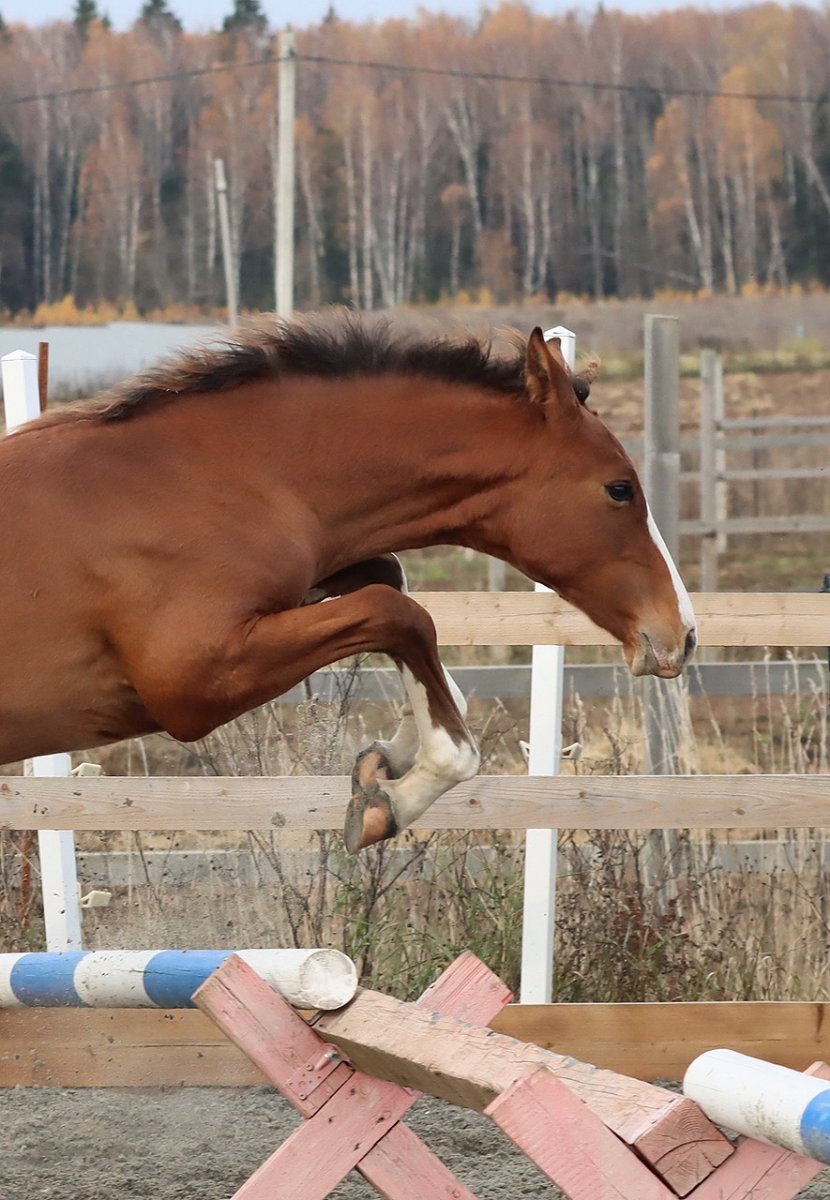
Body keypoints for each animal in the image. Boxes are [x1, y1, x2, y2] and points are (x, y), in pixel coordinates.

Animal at [0, 314, 695, 849]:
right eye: (619, 489)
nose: (681, 637)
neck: (221, 477)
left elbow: (392, 588)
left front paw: (387, 757)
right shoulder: (195, 680)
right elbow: (400, 614)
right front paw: (395, 797)